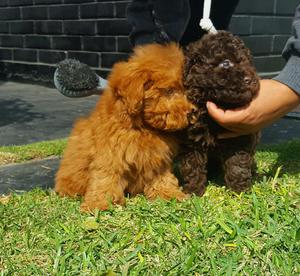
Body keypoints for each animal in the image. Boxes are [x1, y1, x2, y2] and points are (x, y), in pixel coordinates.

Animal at [54, 43, 195, 211]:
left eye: (186, 90)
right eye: (169, 91)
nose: (192, 112)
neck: (143, 126)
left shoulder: (156, 156)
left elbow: (161, 175)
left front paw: (169, 194)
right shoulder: (110, 152)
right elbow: (105, 176)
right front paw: (98, 204)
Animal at [178, 31, 260, 196]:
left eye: (247, 62)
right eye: (225, 63)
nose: (252, 80)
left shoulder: (240, 137)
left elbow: (237, 165)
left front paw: (239, 191)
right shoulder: (191, 140)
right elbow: (192, 166)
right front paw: (193, 191)